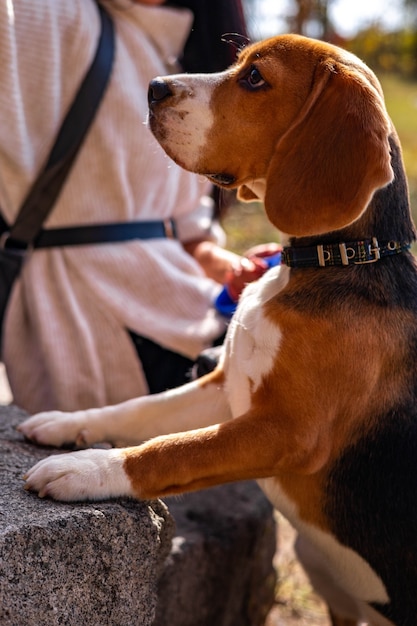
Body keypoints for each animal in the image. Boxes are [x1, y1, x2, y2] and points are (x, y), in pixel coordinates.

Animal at [18, 35, 416, 624]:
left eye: (255, 78)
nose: (154, 88)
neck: (337, 259)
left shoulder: (286, 431)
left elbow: (172, 449)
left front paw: (86, 468)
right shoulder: (224, 387)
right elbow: (140, 410)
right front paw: (68, 424)